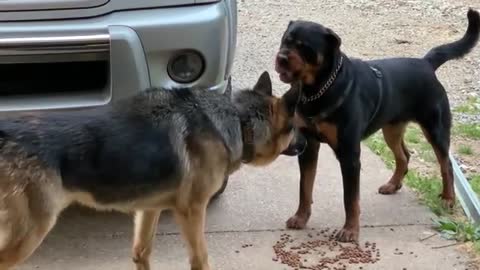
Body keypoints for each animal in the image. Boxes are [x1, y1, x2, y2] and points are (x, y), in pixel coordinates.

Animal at [0, 72, 306, 270]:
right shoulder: (192, 211)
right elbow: (200, 259)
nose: (305, 145)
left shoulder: (149, 209)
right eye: (294, 127)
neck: (240, 120)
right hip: (30, 232)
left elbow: (141, 253)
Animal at [274, 8, 480, 243]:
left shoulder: (349, 154)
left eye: (304, 47)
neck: (318, 90)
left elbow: (350, 198)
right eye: (285, 41)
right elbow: (305, 187)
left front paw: (350, 230)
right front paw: (300, 217)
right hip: (391, 127)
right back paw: (393, 184)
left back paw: (448, 199)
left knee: (446, 165)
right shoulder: (308, 145)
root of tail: (426, 63)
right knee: (404, 155)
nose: (281, 58)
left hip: (435, 129)